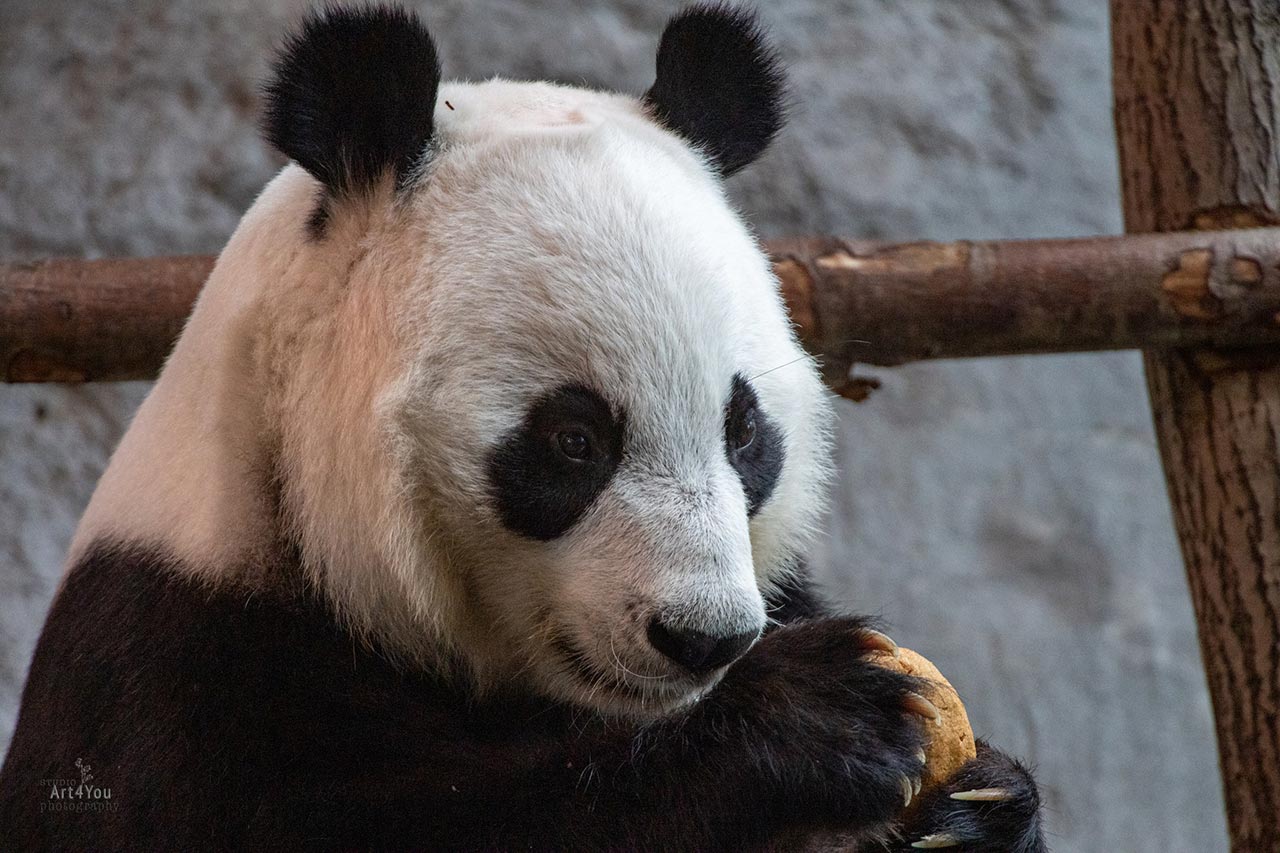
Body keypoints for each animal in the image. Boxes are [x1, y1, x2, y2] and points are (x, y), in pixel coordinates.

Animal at [0, 4, 1046, 850]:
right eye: (573, 441)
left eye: (744, 431)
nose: (705, 639)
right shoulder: (178, 686)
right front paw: (820, 716)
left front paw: (981, 803)